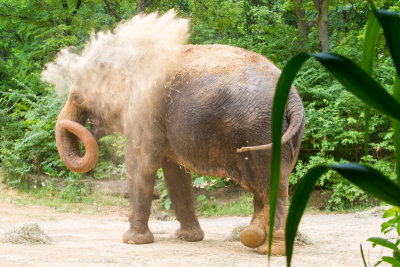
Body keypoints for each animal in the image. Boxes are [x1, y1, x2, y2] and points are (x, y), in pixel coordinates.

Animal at [44, 11, 306, 256]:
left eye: (77, 97)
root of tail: (294, 99)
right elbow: (175, 173)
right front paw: (187, 238)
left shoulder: (145, 111)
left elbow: (140, 165)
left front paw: (131, 241)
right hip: (284, 137)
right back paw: (253, 237)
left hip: (262, 132)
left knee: (271, 186)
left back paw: (268, 249)